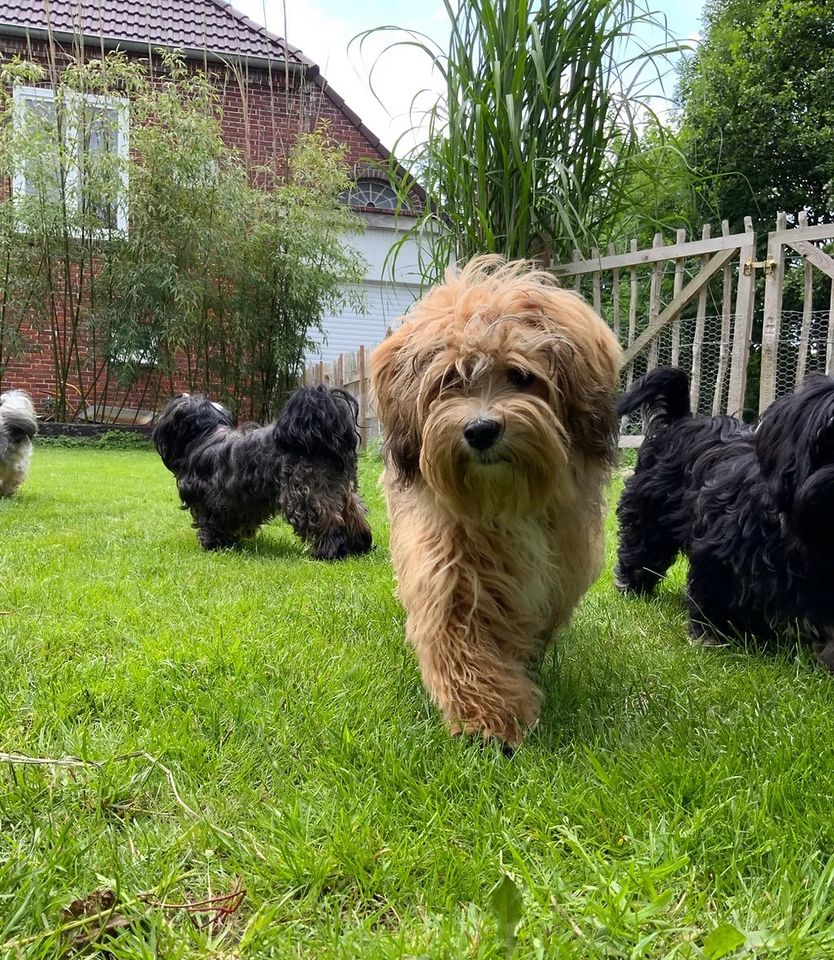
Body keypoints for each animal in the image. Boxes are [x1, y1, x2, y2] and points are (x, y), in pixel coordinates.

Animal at [151, 386, 372, 560]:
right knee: (355, 514)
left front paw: (211, 544)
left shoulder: (210, 500)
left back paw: (328, 552)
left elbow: (211, 523)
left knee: (326, 520)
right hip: (343, 490)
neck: (205, 435)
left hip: (305, 494)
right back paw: (360, 546)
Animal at [370, 255, 616, 744]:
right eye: (449, 380)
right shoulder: (449, 563)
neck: (504, 501)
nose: (481, 430)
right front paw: (490, 718)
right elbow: (459, 633)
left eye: (522, 376)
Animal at [616, 368, 834, 668]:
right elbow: (714, 596)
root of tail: (682, 419)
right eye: (829, 438)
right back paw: (632, 585)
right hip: (649, 516)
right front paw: (711, 635)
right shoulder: (717, 552)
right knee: (640, 550)